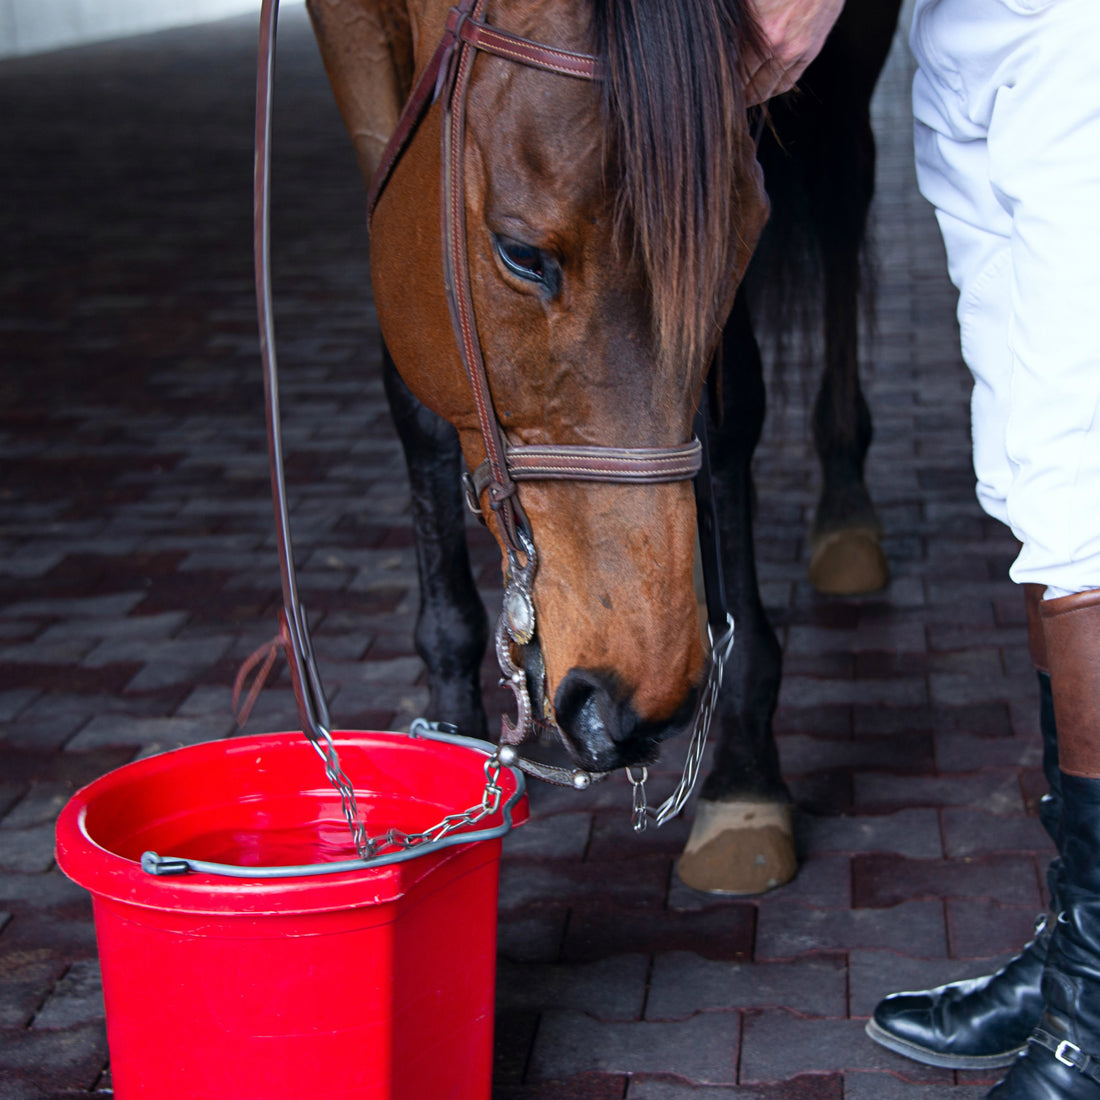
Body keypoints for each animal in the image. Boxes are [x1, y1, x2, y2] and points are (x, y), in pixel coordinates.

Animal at [306, 0, 900, 895]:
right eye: (520, 253)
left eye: (741, 242)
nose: (633, 705)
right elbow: (416, 405)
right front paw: (447, 725)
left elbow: (728, 412)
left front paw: (746, 774)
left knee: (844, 189)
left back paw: (845, 497)